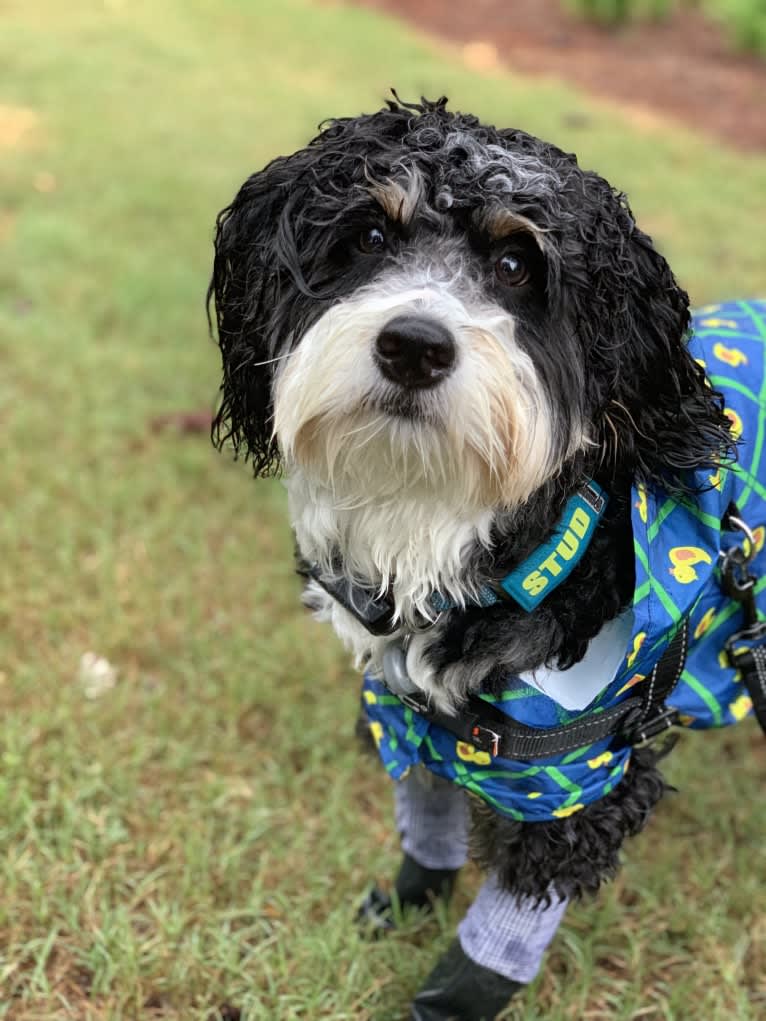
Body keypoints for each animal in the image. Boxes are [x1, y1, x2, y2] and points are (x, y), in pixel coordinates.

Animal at [207, 97, 763, 1021]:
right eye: (368, 235)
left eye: (514, 263)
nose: (415, 344)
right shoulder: (408, 710)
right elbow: (427, 814)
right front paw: (408, 897)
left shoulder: (571, 774)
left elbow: (512, 911)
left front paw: (452, 996)